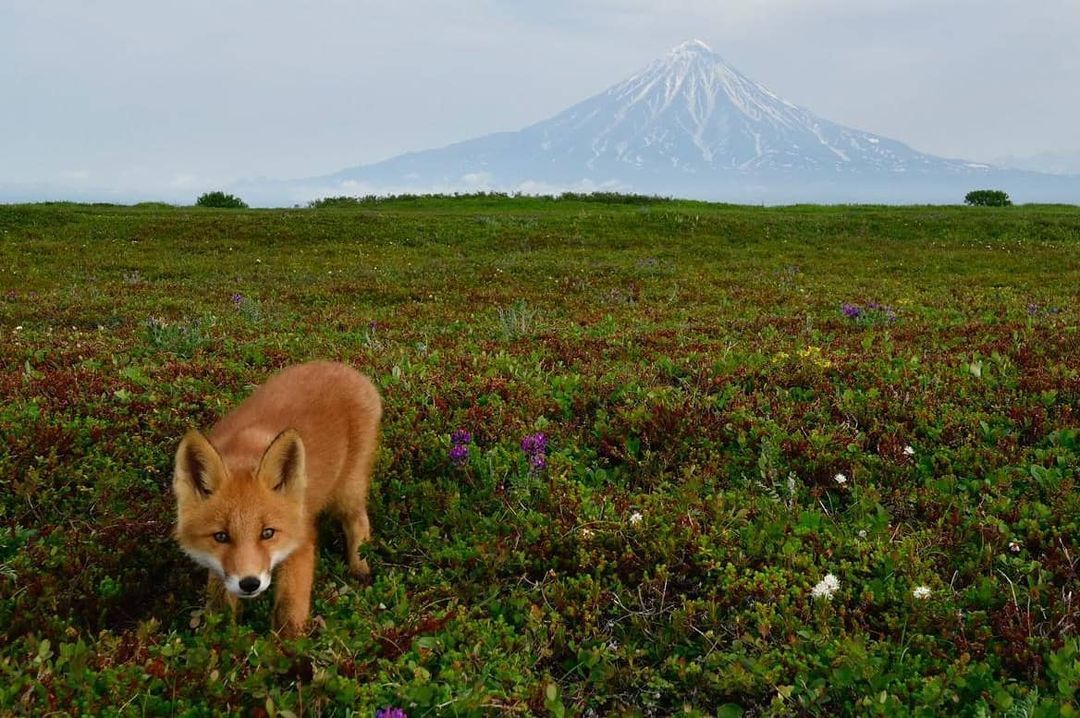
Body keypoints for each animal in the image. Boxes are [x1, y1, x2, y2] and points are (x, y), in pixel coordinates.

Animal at [170, 360, 382, 634]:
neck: (243, 455)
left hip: (347, 491)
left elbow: (288, 612)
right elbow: (219, 607)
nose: (249, 583)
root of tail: (344, 368)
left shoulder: (301, 540)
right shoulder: (219, 568)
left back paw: (360, 569)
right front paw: (220, 637)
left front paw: (288, 645)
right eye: (221, 536)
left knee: (358, 522)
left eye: (267, 533)